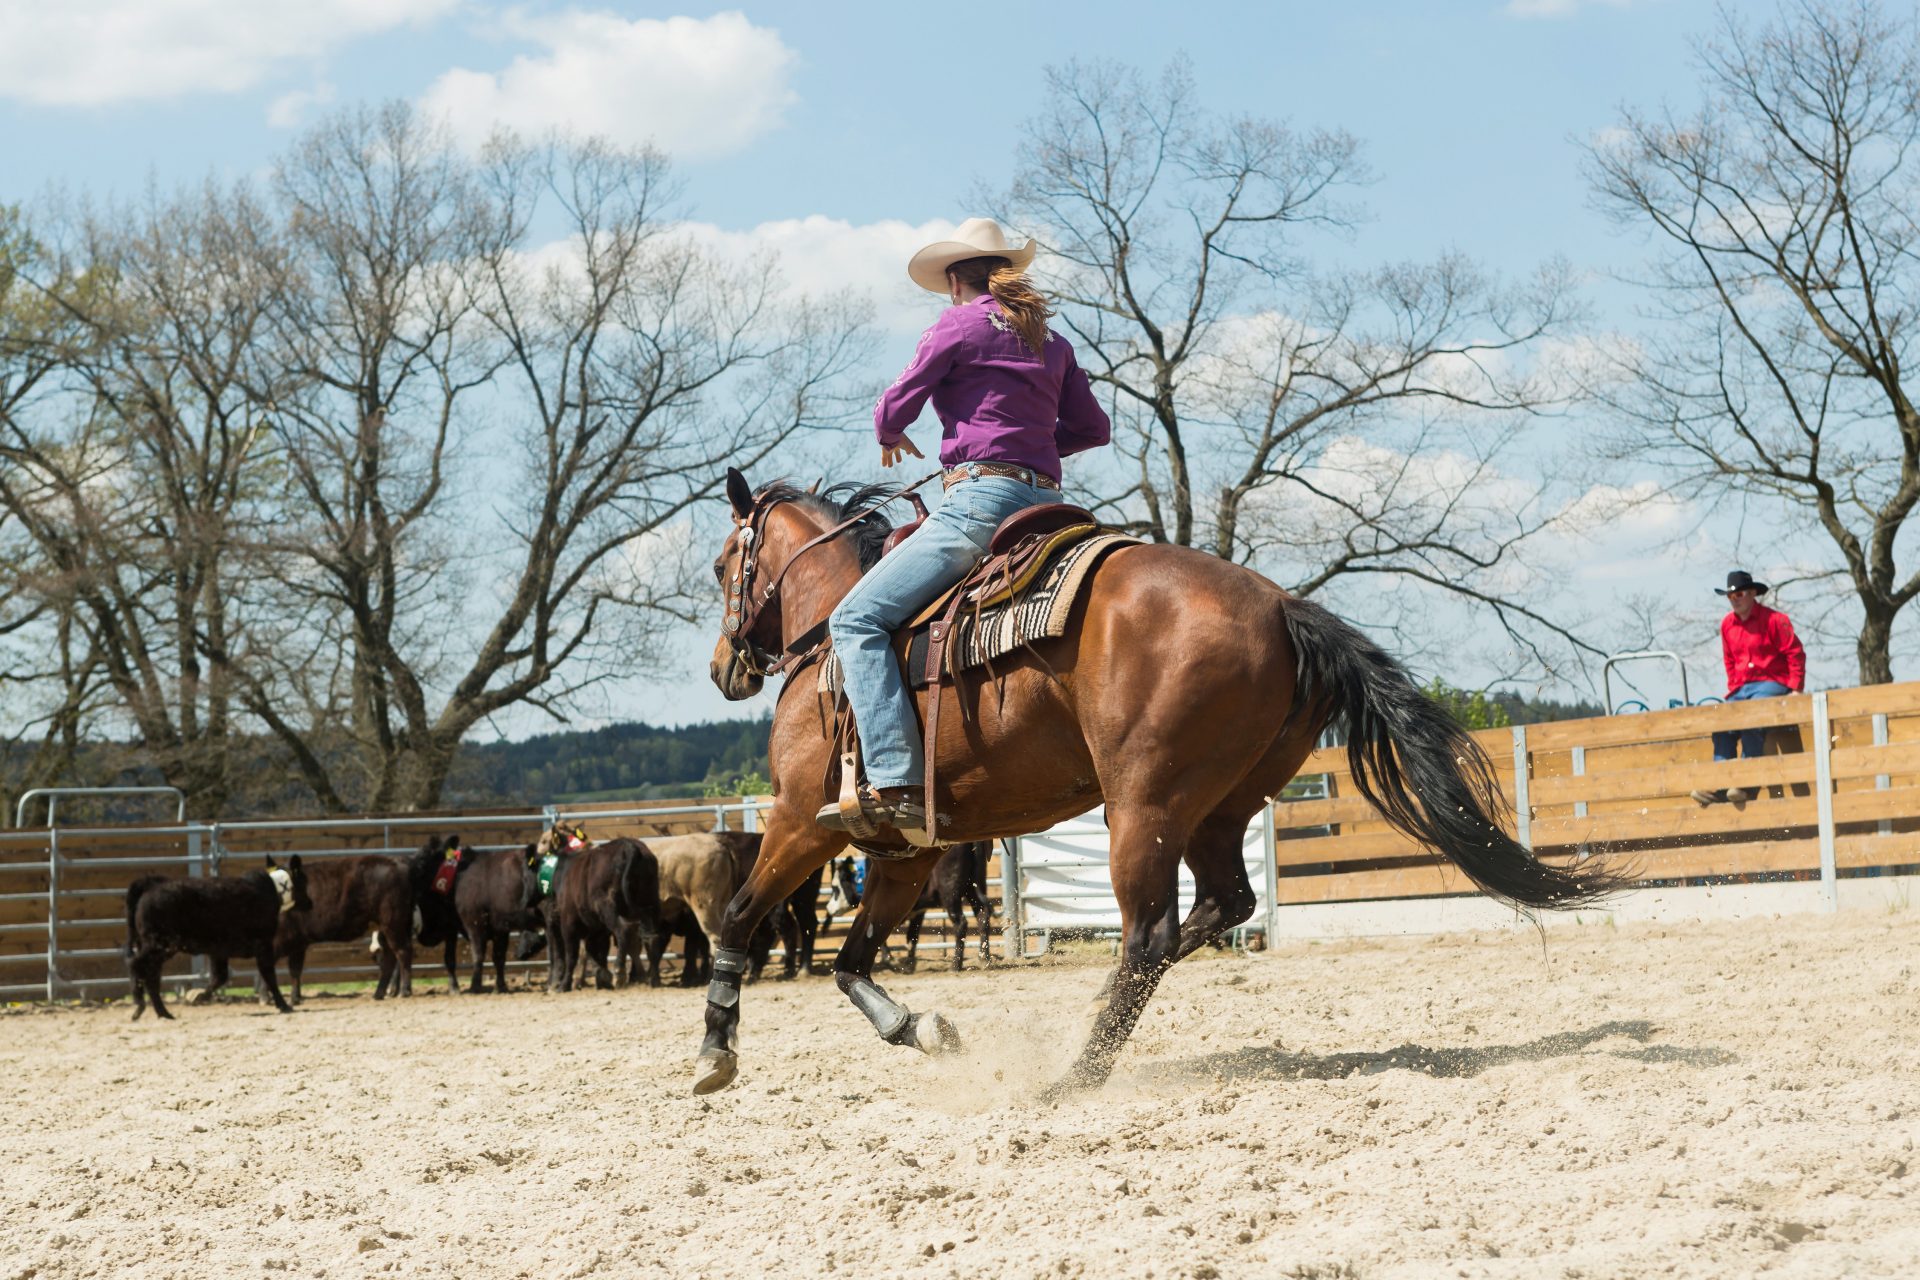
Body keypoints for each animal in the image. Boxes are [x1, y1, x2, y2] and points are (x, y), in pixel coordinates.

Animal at [691, 475, 1620, 1097]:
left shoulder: (804, 821)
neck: (833, 628)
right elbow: (851, 961)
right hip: (1218, 807)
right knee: (1220, 905)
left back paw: (1072, 1077)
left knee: (1149, 935)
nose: (722, 667)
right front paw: (921, 1029)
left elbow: (737, 917)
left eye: (722, 561)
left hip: (1141, 807)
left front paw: (715, 1051)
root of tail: (1282, 606)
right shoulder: (907, 851)